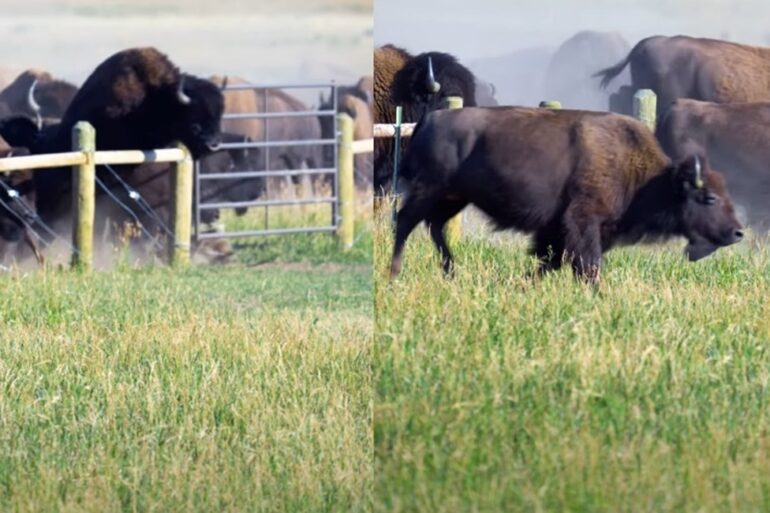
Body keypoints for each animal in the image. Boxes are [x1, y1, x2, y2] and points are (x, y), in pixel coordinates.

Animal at [390, 107, 744, 283]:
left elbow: (552, 260)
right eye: (709, 198)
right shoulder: (583, 220)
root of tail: (430, 118)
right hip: (431, 190)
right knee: (406, 222)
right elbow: (586, 264)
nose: (738, 232)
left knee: (434, 226)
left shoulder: (561, 230)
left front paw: (523, 284)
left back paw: (450, 272)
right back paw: (395, 275)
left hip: (454, 197)